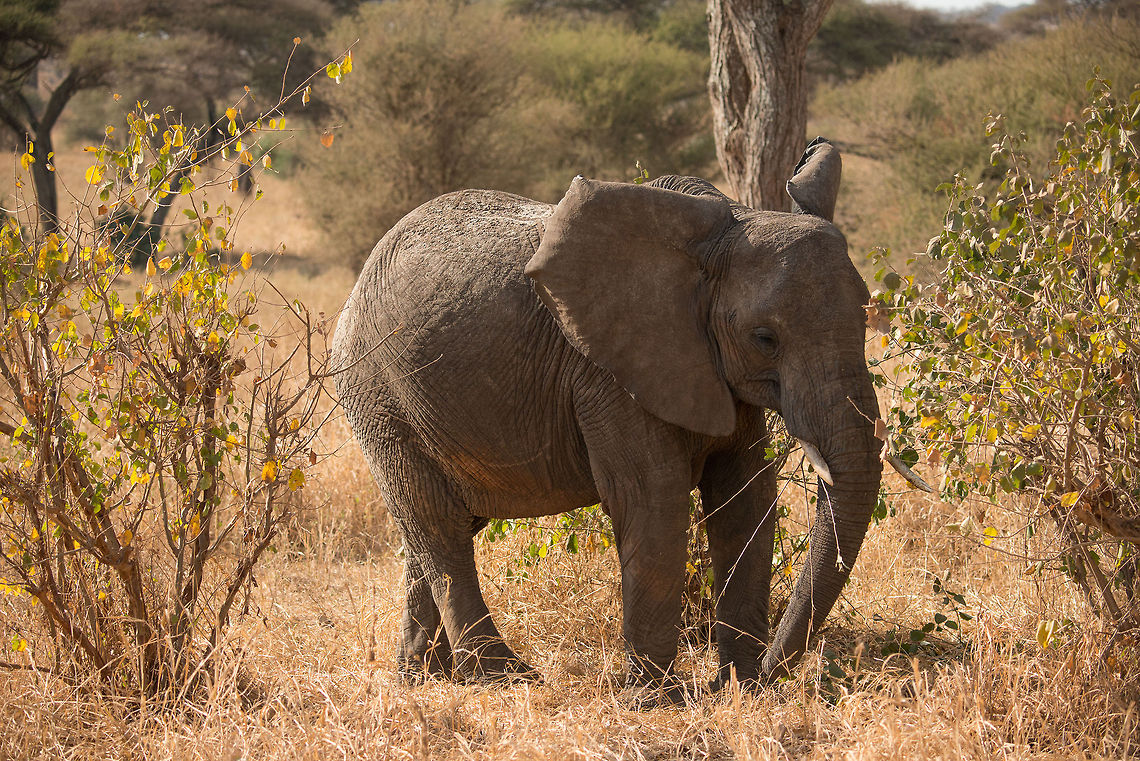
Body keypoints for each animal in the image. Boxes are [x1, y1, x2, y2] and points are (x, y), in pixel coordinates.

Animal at [331, 137, 924, 700]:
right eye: (764, 338)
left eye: (867, 316)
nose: (775, 670)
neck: (724, 227)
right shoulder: (608, 373)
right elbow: (653, 496)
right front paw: (657, 698)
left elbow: (745, 496)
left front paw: (738, 688)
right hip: (379, 399)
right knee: (438, 526)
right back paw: (504, 679)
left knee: (438, 529)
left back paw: (422, 678)